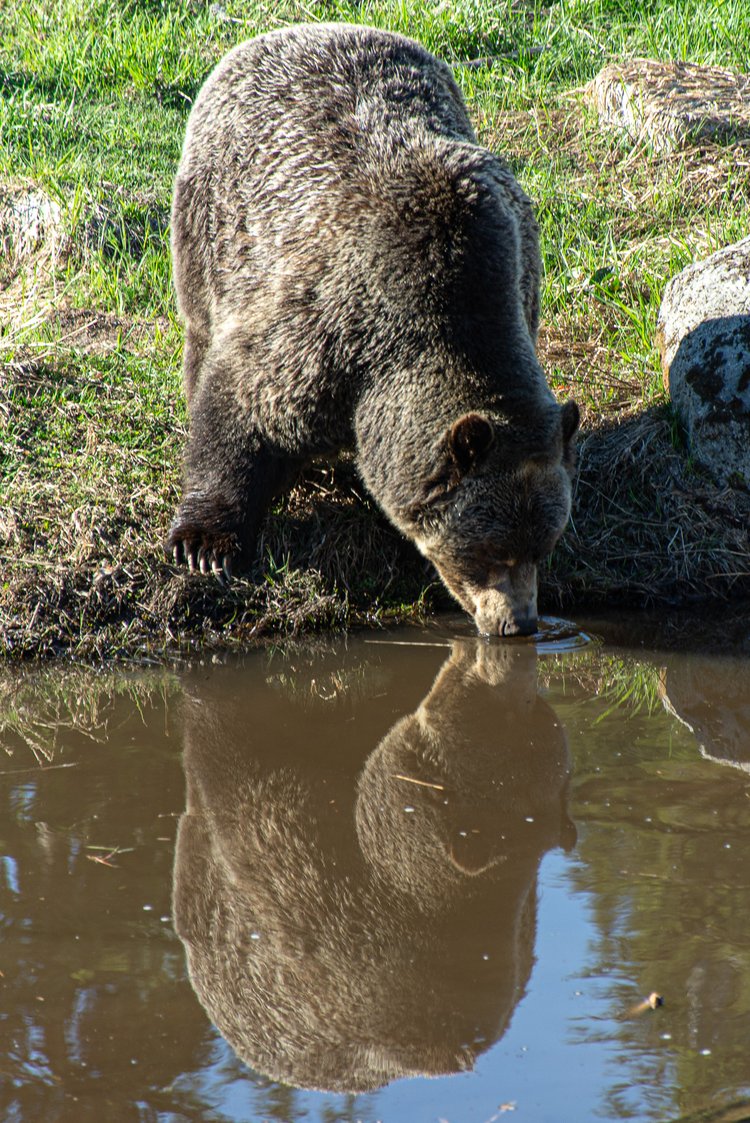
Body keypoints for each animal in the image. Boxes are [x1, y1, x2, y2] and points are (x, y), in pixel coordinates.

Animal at [167, 21, 579, 637]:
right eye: (488, 551)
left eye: (544, 545)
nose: (521, 623)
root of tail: (294, 29)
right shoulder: (325, 330)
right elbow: (241, 406)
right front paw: (206, 543)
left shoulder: (519, 273)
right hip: (216, 222)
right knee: (201, 325)